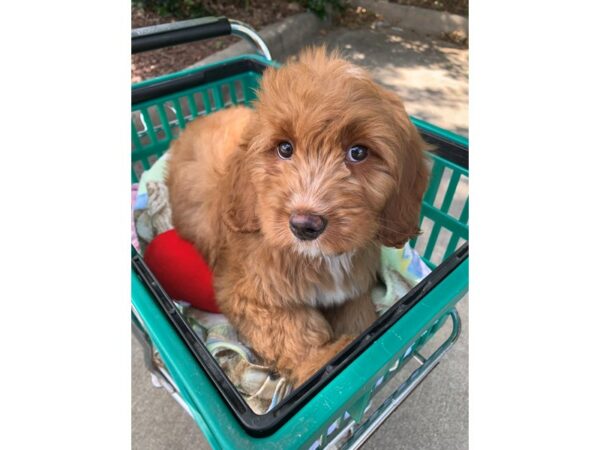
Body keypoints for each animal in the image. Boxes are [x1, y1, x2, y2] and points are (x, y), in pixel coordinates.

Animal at [169, 48, 428, 386]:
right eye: (284, 148)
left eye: (358, 152)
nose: (305, 226)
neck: (318, 258)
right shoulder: (248, 292)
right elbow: (294, 329)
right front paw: (320, 360)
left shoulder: (354, 288)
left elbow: (358, 316)